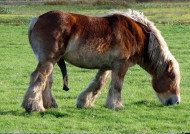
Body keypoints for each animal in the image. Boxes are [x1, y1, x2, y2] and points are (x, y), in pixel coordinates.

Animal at [21, 9, 180, 112]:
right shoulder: (121, 64)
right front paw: (116, 105)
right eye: (172, 79)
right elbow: (117, 85)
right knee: (38, 78)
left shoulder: (107, 66)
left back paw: (49, 105)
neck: (135, 34)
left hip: (50, 61)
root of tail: (37, 19)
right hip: (48, 60)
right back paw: (33, 107)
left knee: (46, 81)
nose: (176, 102)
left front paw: (84, 102)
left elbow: (98, 83)